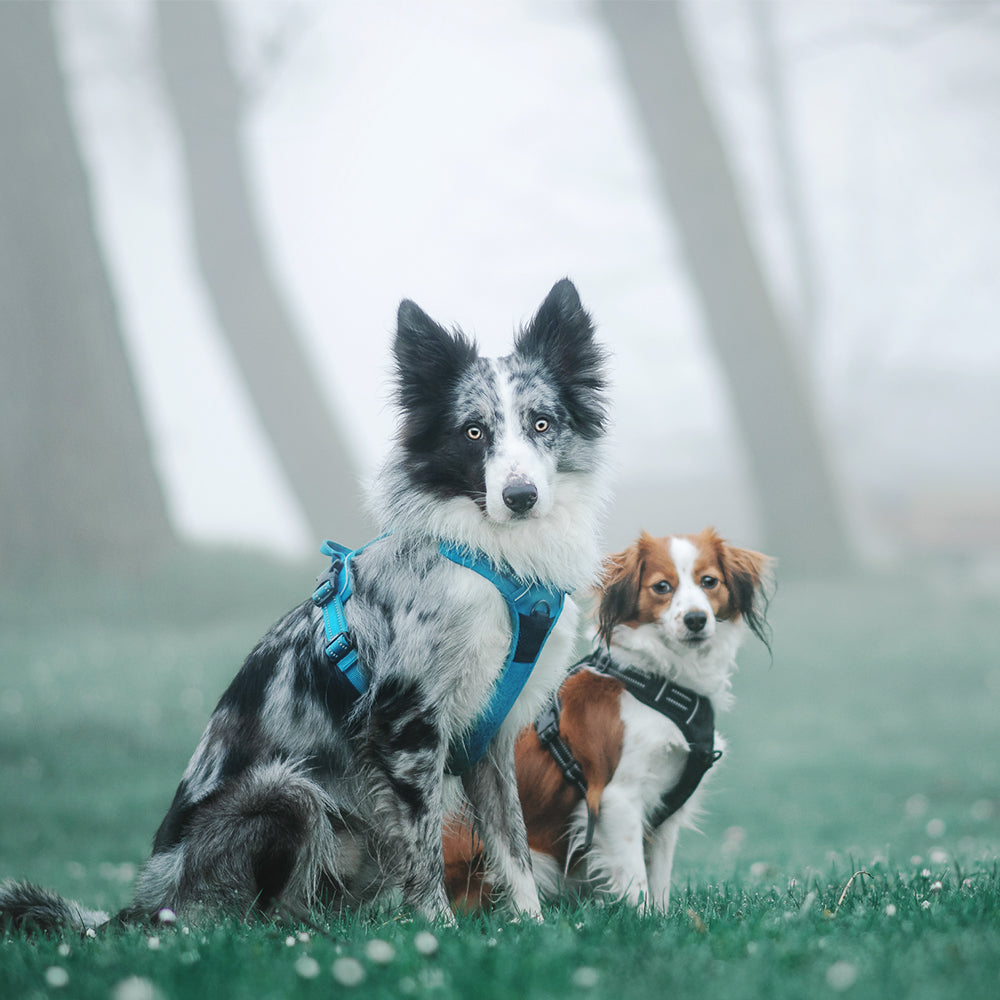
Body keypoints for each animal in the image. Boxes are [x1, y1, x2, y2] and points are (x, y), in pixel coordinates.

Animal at [446, 532, 772, 916]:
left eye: (709, 581)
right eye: (662, 587)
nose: (695, 619)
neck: (656, 682)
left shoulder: (664, 815)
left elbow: (659, 879)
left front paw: (663, 918)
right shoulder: (617, 799)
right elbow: (636, 879)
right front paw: (644, 920)